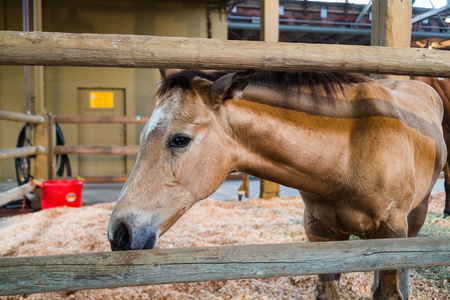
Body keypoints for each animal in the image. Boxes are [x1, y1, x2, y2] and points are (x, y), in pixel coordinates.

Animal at [108, 69, 446, 298]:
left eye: (180, 140)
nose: (119, 232)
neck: (351, 149)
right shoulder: (322, 235)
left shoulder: (392, 231)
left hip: (416, 215)